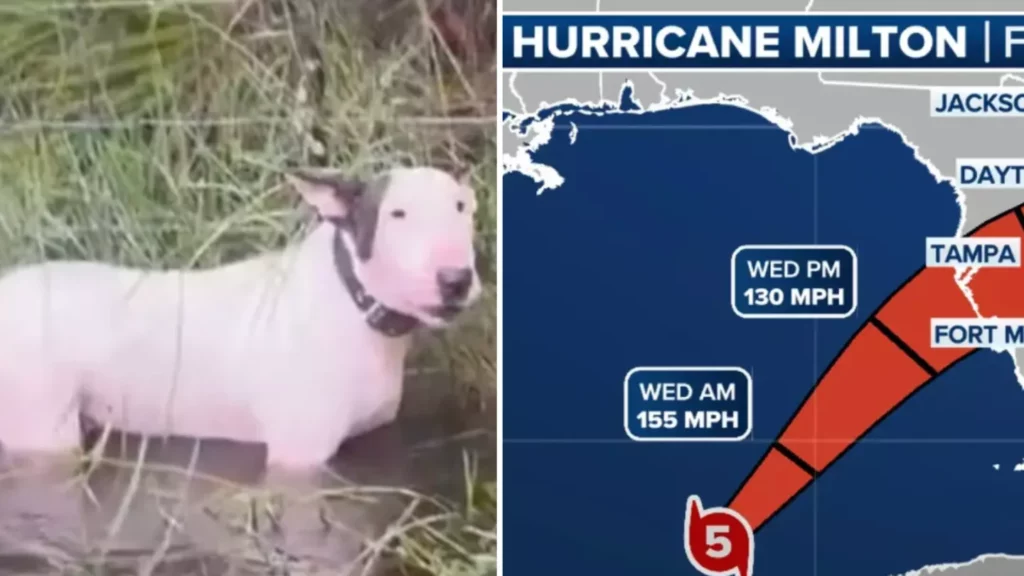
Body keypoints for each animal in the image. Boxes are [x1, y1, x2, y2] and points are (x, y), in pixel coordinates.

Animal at [0, 165, 481, 467]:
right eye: (396, 213)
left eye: (461, 208)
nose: (456, 279)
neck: (351, 301)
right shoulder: (298, 458)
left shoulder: (373, 435)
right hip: (41, 426)